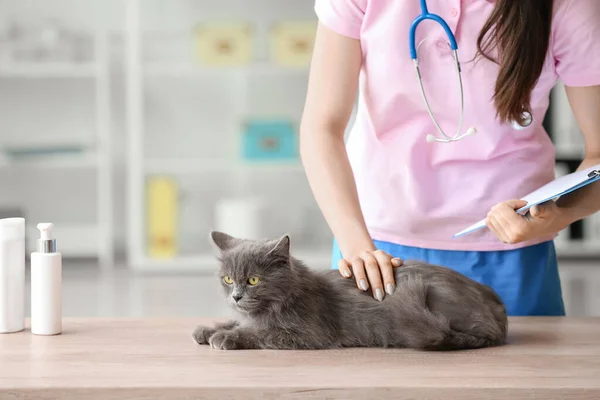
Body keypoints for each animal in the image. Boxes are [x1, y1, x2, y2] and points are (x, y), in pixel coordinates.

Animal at [192, 231, 506, 350]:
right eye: (228, 279)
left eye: (254, 280)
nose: (236, 296)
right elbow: (237, 322)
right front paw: (207, 330)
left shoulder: (306, 333)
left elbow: (259, 333)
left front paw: (224, 337)